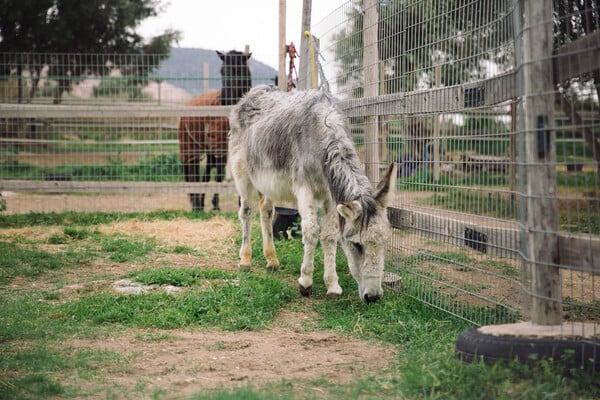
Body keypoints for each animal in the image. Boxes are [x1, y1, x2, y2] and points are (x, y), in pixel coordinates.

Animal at [178, 50, 253, 211]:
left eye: (240, 70)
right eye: (222, 71)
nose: (226, 100)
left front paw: (240, 203)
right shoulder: (219, 147)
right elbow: (218, 175)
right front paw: (215, 205)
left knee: (204, 174)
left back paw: (201, 203)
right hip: (191, 148)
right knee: (194, 175)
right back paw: (197, 205)